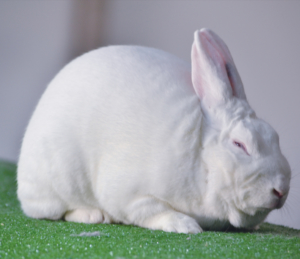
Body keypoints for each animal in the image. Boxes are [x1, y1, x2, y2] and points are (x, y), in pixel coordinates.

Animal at [17, 28, 290, 234]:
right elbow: (154, 211)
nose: (281, 190)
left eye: (275, 137)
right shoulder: (130, 195)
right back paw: (94, 215)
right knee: (55, 211)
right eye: (240, 145)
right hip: (56, 184)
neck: (202, 161)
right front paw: (185, 225)